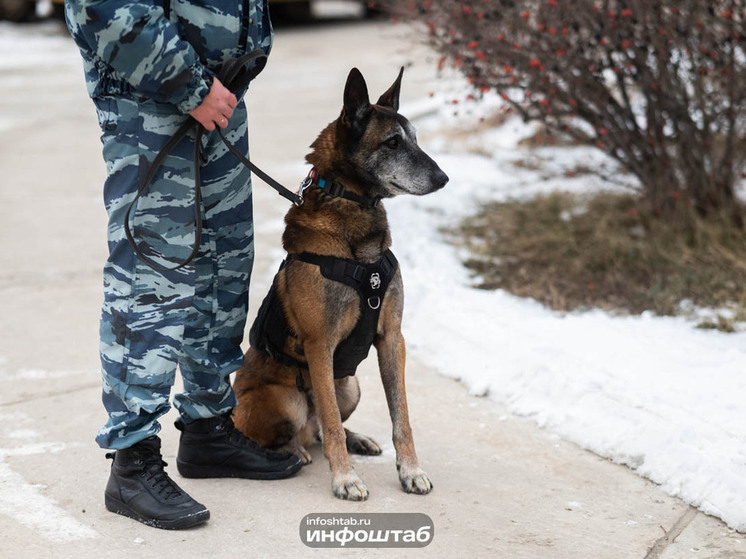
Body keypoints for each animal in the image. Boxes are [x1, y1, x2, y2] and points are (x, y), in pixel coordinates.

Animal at [230, 68, 444, 500]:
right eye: (392, 142)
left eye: (414, 138)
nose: (444, 178)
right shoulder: (320, 346)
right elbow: (330, 424)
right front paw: (345, 478)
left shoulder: (392, 339)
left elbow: (401, 417)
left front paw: (410, 470)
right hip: (287, 399)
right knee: (303, 430)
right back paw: (295, 451)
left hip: (350, 385)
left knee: (320, 428)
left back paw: (356, 438)